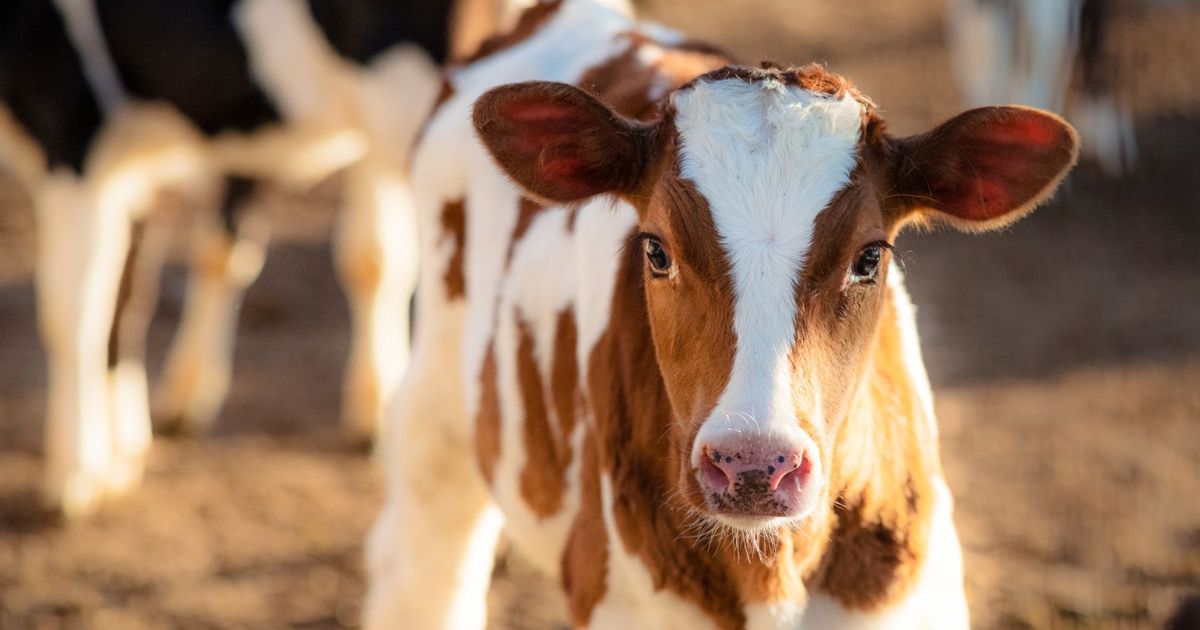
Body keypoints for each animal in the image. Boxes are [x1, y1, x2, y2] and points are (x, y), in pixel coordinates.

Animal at [0, 0, 459, 518]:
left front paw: (77, 473)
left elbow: (73, 311)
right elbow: (127, 289)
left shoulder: (70, 117)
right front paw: (124, 453)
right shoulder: (123, 157)